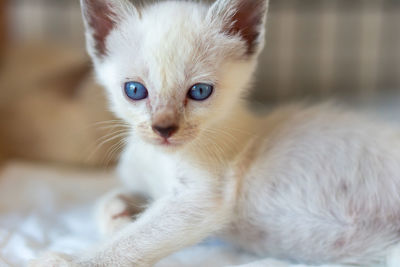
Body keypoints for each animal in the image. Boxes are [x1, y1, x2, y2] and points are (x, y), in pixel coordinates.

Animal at [30, 0, 400, 267]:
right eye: (134, 90)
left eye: (200, 92)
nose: (163, 128)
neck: (161, 157)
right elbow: (111, 201)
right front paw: (119, 217)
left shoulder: (199, 199)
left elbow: (135, 240)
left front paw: (68, 260)